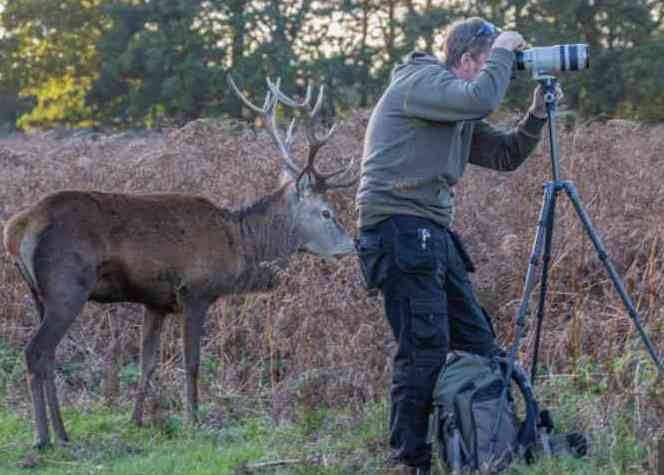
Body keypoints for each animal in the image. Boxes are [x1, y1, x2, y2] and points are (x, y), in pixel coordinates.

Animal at [3, 77, 357, 449]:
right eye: (327, 212)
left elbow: (147, 362)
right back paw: (43, 437)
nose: (353, 244)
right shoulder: (195, 292)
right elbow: (192, 362)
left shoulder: (155, 302)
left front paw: (137, 419)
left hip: (37, 294)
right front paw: (194, 420)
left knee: (48, 356)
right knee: (35, 352)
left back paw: (62, 432)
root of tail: (17, 228)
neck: (239, 245)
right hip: (66, 286)